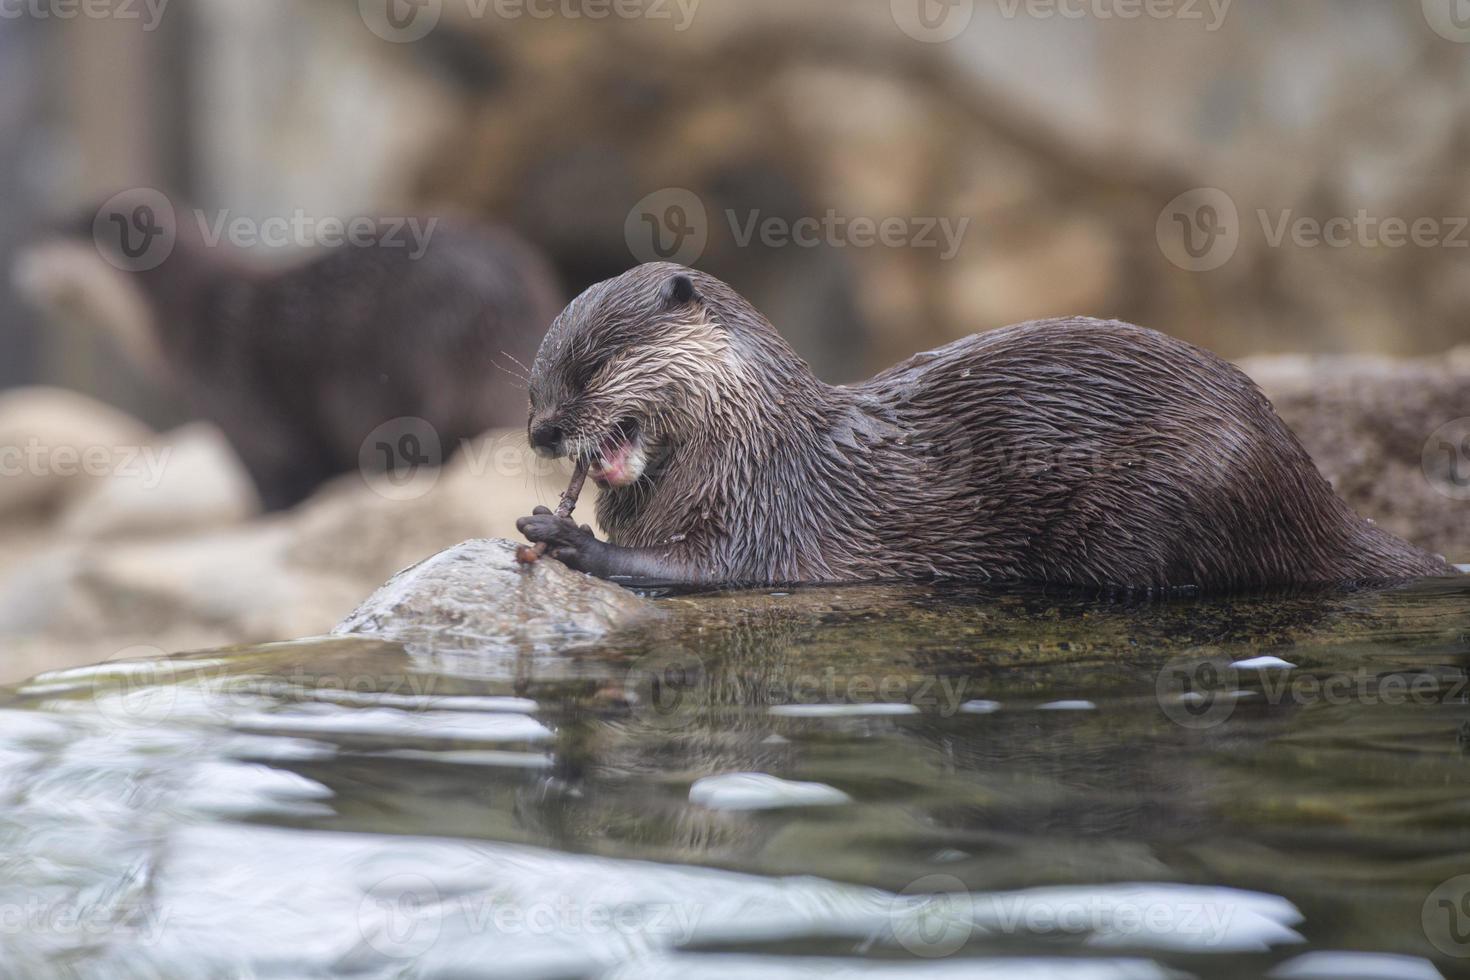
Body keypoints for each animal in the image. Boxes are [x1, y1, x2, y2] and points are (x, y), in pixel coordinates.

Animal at [14, 193, 558, 514]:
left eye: (51, 237)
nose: (20, 262)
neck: (186, 314)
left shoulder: (230, 391)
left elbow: (278, 466)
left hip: (420, 350)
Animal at [514, 262, 1446, 590]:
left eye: (593, 365)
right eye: (534, 382)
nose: (543, 433)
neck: (754, 441)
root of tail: (1316, 496)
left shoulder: (763, 512)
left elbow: (705, 572)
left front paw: (563, 538)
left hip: (1190, 481)